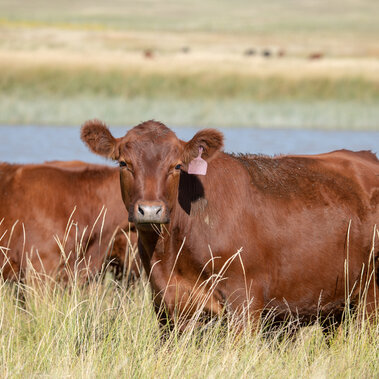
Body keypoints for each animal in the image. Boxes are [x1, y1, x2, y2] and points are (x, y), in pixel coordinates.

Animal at [82, 121, 379, 330]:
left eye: (177, 166)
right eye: (124, 163)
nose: (150, 210)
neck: (171, 252)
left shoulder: (245, 303)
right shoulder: (167, 305)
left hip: (369, 298)